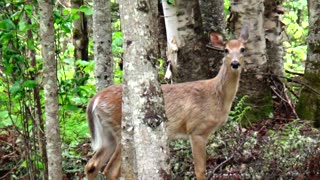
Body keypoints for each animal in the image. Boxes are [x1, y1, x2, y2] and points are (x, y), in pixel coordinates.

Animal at [85, 25, 250, 180]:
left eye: (243, 49)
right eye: (226, 50)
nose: (235, 63)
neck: (216, 96)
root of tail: (95, 99)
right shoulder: (196, 129)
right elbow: (200, 170)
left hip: (108, 133)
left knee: (92, 165)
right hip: (122, 131)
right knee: (110, 169)